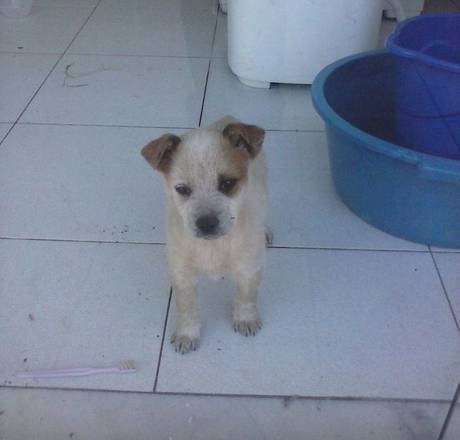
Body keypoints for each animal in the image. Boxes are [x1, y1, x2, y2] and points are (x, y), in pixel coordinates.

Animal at [141, 117, 268, 353]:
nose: (206, 224)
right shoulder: (182, 274)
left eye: (227, 183)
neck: (214, 246)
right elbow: (187, 308)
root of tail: (228, 117)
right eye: (182, 189)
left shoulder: (248, 267)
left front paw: (245, 319)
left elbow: (246, 296)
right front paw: (186, 335)